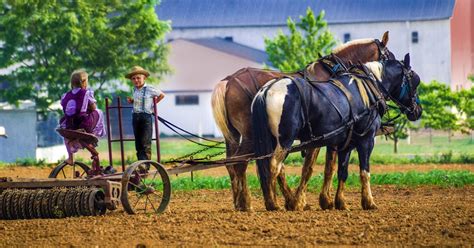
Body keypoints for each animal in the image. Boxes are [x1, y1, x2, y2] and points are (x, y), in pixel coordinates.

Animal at [213, 30, 394, 209]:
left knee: (232, 163)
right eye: (388, 56)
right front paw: (318, 200)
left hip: (234, 136)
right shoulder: (326, 137)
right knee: (242, 163)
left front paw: (314, 200)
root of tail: (229, 81)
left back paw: (242, 201)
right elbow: (316, 167)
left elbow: (325, 167)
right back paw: (248, 202)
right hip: (251, 135)